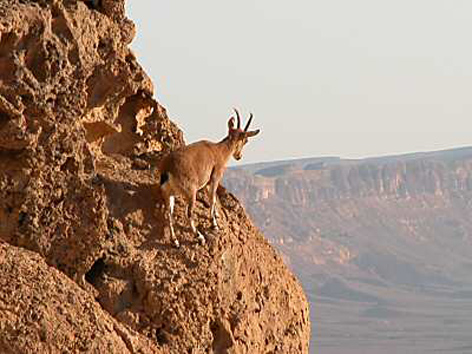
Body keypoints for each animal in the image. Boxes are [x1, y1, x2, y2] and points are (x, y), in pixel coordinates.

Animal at [160, 109, 260, 248]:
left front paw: (215, 217)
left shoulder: (207, 183)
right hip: (190, 192)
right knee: (188, 213)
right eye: (245, 140)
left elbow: (212, 198)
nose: (239, 156)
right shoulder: (215, 178)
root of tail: (168, 168)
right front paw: (214, 225)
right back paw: (200, 237)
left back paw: (175, 241)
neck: (220, 151)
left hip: (169, 194)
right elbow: (212, 199)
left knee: (168, 214)